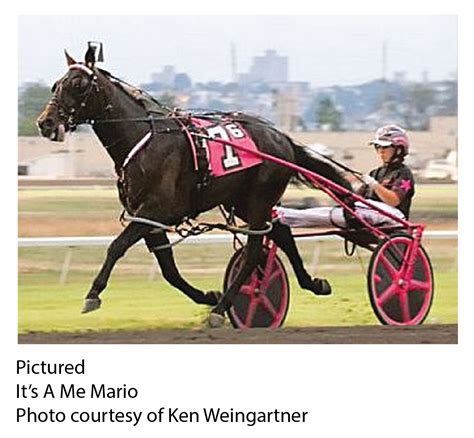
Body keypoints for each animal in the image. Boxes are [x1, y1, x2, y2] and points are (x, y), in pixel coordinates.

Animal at [36, 47, 353, 327]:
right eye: (56, 84)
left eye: (78, 85)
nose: (45, 122)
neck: (143, 141)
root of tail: (282, 136)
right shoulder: (147, 219)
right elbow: (169, 270)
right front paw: (206, 295)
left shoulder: (156, 210)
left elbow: (117, 246)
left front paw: (93, 294)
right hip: (241, 202)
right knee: (281, 233)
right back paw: (310, 284)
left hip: (259, 198)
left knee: (254, 251)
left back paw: (223, 308)